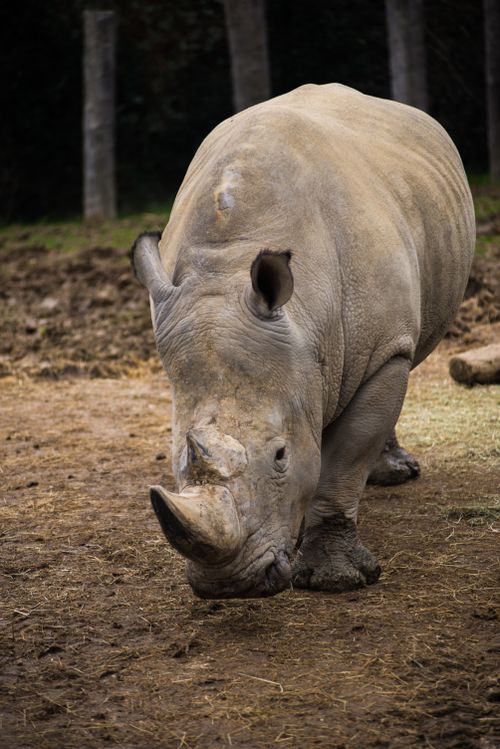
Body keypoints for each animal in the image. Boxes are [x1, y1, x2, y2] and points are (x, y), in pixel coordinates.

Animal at [131, 84, 475, 598]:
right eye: (179, 459)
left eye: (280, 455)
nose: (228, 585)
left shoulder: (381, 348)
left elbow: (346, 455)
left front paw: (335, 579)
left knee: (403, 360)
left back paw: (393, 477)